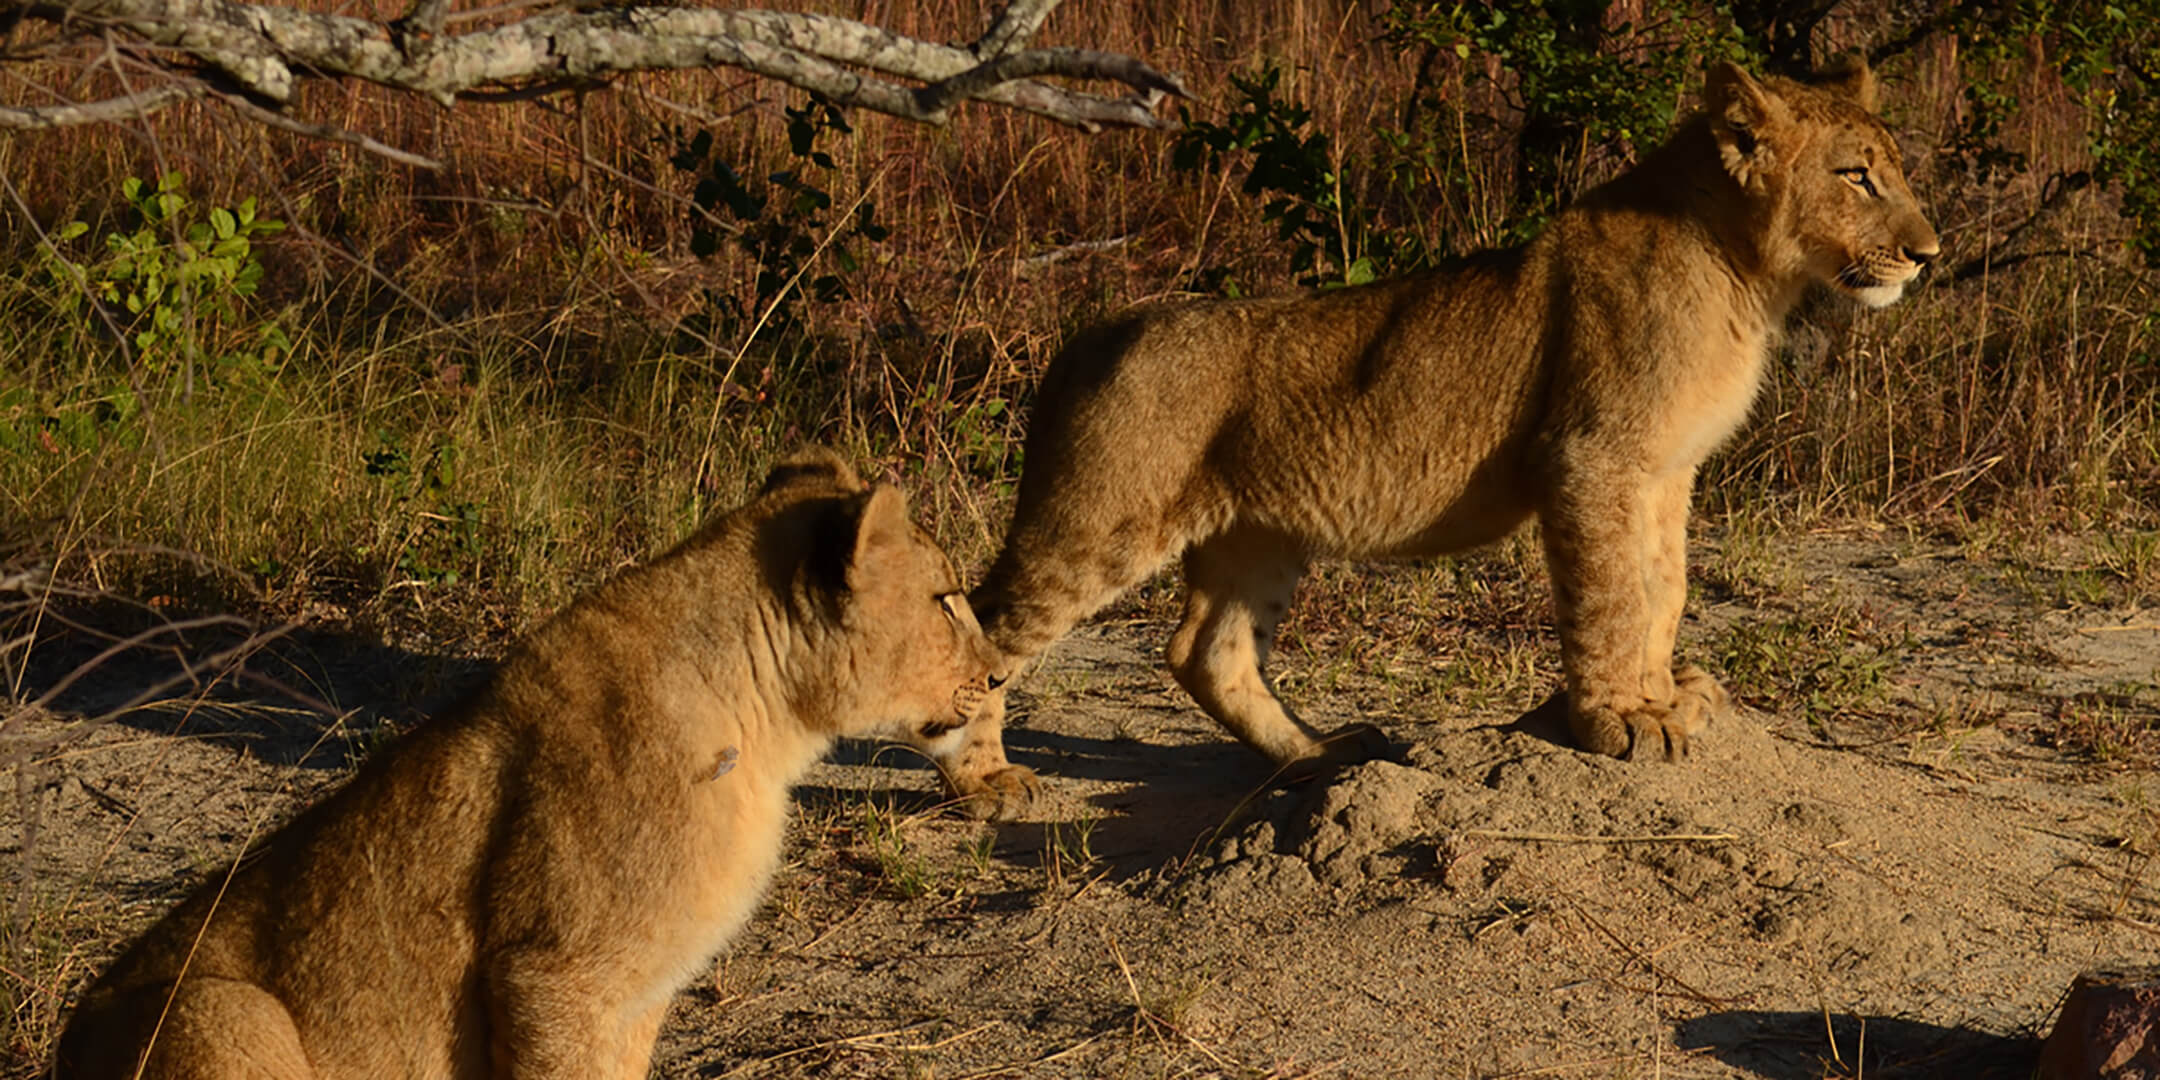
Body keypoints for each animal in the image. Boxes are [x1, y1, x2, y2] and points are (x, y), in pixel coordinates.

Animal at [55, 449, 1003, 1079]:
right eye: (946, 600)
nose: (999, 674)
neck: (764, 719)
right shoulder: (552, 976)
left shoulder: (636, 994)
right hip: (222, 1007)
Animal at [931, 58, 1940, 820]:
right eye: (1856, 175)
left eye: (1892, 168)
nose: (1928, 253)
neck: (1746, 275)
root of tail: (1093, 332)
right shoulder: (1592, 457)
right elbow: (1615, 596)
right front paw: (1616, 720)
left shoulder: (1664, 470)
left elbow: (1665, 588)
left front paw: (1665, 699)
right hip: (1099, 523)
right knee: (981, 628)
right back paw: (987, 784)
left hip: (1256, 533)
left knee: (1205, 652)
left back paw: (1323, 752)